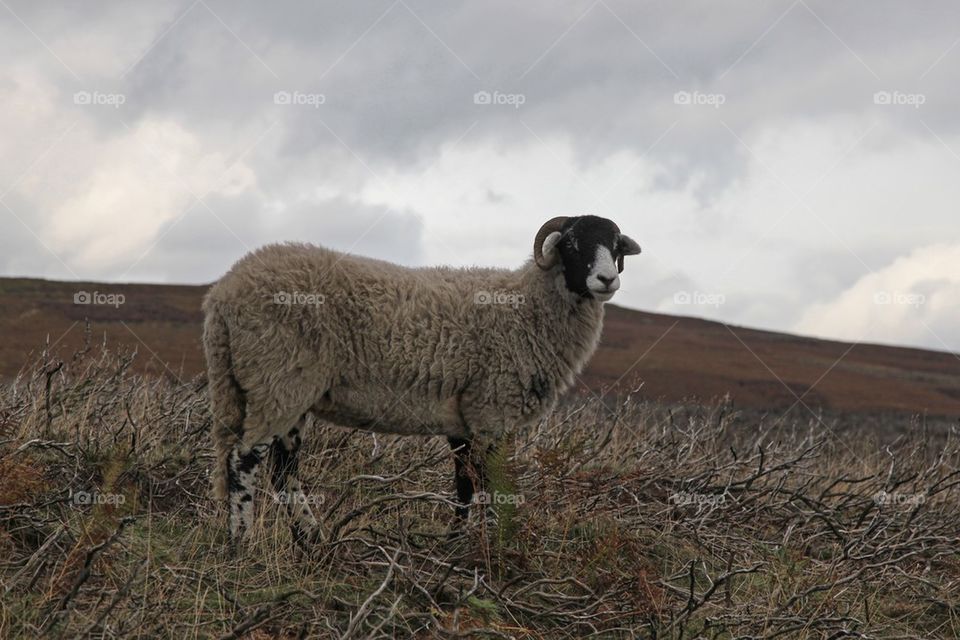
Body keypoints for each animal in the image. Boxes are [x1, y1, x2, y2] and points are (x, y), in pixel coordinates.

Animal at [203, 214, 641, 546]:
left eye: (616, 246)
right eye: (572, 243)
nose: (606, 280)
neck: (527, 308)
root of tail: (222, 294)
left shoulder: (462, 418)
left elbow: (464, 486)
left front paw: (455, 544)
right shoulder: (491, 410)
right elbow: (491, 485)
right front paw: (495, 548)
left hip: (282, 391)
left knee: (282, 471)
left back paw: (311, 542)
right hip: (276, 379)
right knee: (244, 461)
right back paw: (242, 544)